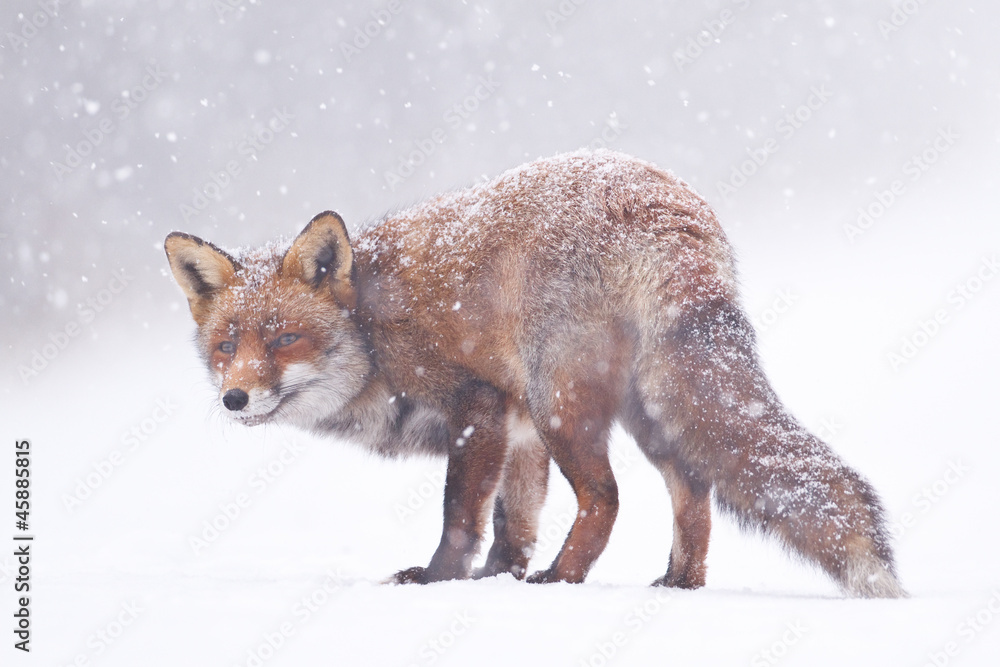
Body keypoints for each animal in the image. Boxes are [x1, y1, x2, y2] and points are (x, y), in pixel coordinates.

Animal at [165, 149, 905, 597]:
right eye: (227, 345)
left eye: (285, 338)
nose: (235, 397)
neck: (372, 331)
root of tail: (661, 200)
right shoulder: (517, 432)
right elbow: (512, 522)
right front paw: (499, 580)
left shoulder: (480, 406)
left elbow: (461, 516)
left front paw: (439, 581)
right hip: (646, 411)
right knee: (693, 492)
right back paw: (677, 583)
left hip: (563, 403)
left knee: (607, 499)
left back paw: (563, 580)